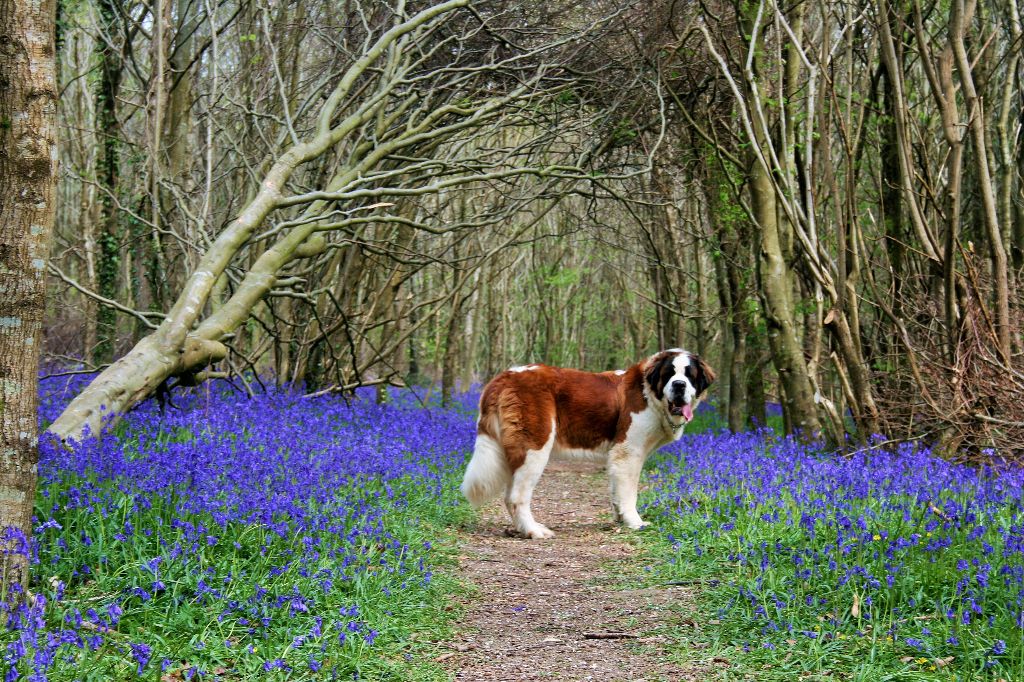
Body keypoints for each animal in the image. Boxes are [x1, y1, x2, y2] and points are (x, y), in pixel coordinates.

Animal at [462, 350, 712, 536]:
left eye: (689, 375)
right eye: (669, 374)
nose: (679, 385)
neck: (649, 394)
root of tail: (505, 376)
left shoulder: (619, 455)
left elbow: (616, 491)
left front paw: (620, 519)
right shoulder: (628, 452)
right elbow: (629, 492)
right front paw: (635, 522)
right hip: (534, 447)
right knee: (516, 497)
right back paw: (533, 531)